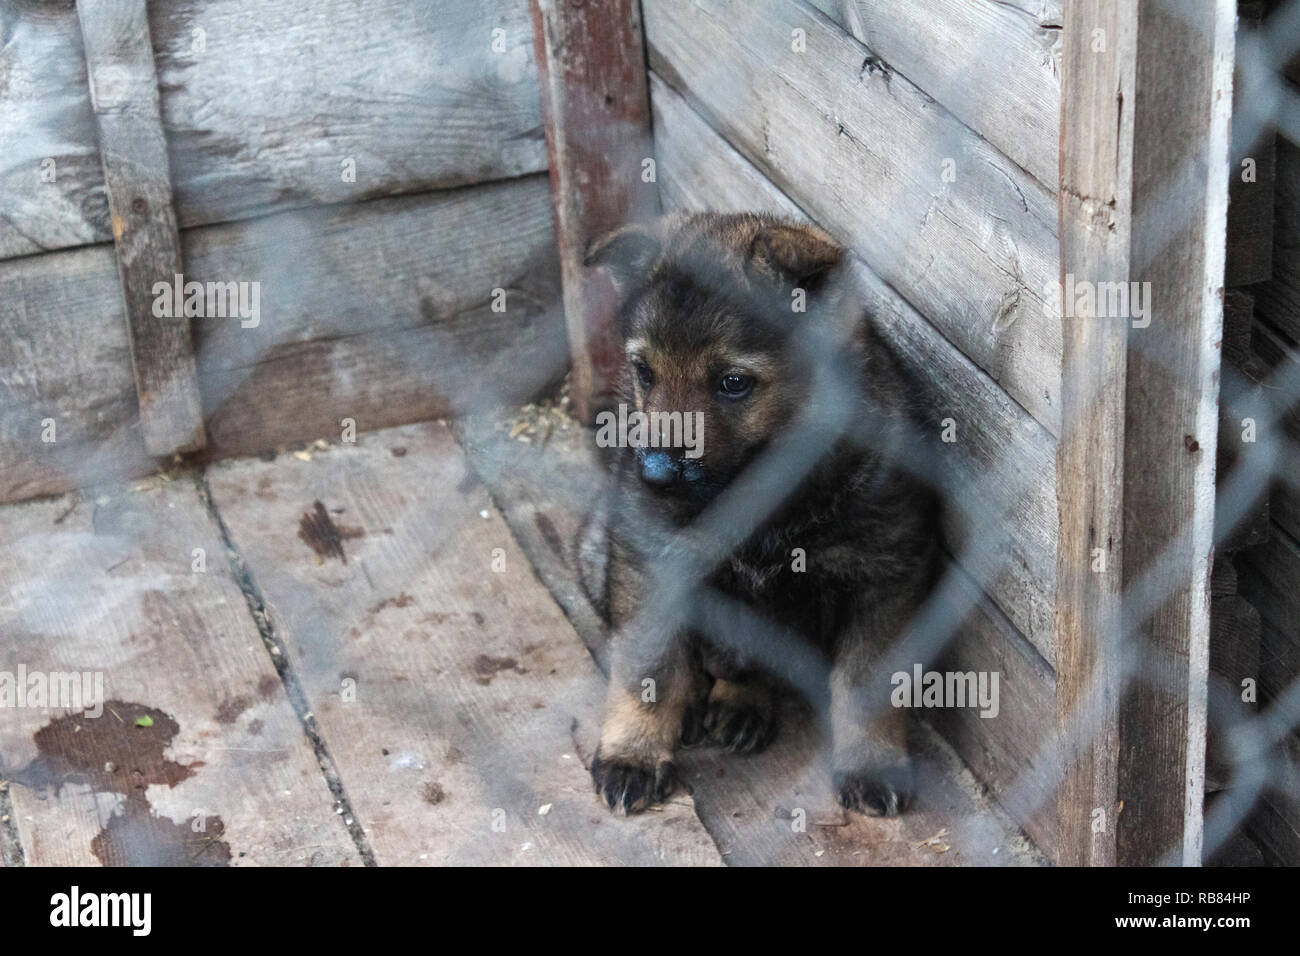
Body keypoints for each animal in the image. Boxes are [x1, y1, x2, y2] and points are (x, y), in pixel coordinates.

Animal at [585, 213, 941, 816]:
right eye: (644, 372)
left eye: (733, 383)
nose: (651, 475)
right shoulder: (651, 563)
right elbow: (648, 671)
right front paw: (633, 753)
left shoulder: (887, 577)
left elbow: (869, 684)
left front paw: (872, 764)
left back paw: (741, 705)